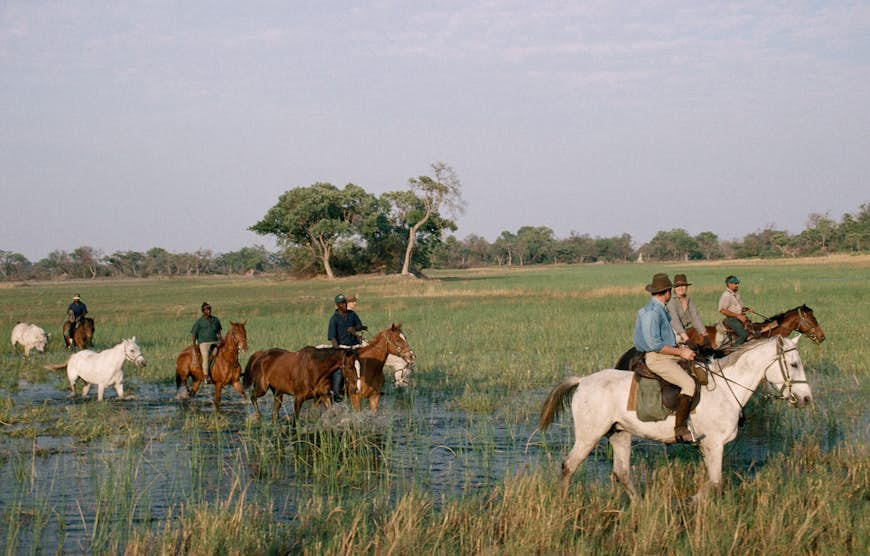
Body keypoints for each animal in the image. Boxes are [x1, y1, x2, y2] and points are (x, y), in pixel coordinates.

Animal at [540, 334, 816, 500]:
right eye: (793, 364)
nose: (806, 399)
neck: (726, 388)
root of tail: (583, 381)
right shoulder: (714, 445)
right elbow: (715, 481)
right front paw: (691, 502)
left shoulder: (707, 447)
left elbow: (713, 480)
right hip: (589, 436)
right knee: (569, 466)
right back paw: (564, 504)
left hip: (620, 433)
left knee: (622, 473)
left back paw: (640, 505)